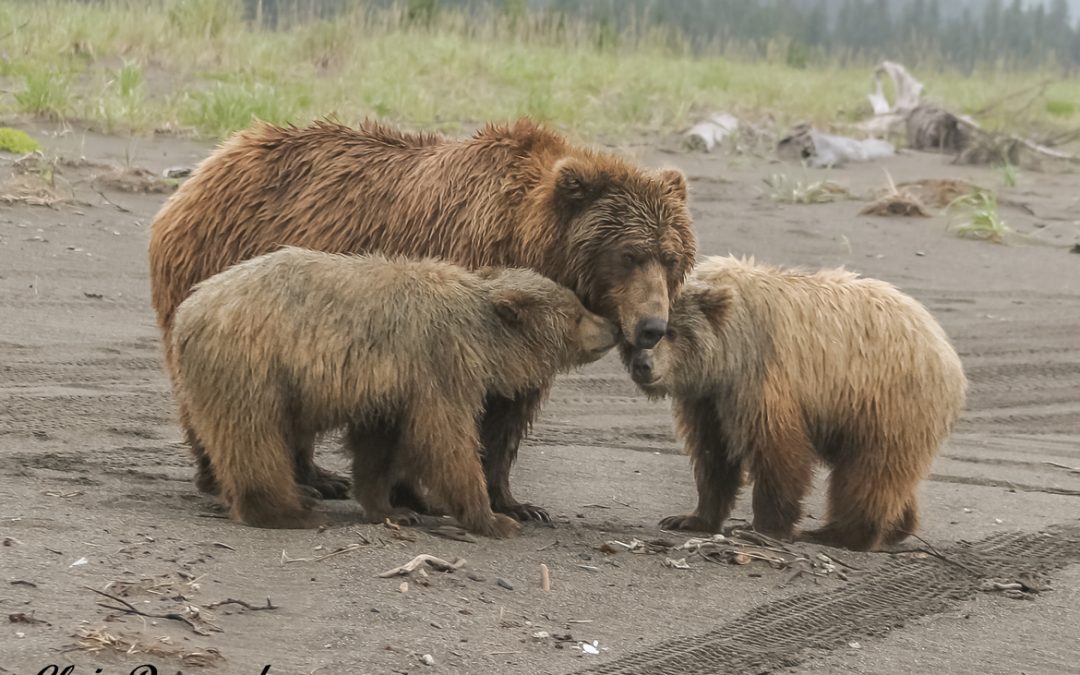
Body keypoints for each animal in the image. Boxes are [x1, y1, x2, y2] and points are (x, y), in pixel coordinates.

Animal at [170, 246, 619, 536]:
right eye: (577, 312)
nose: (612, 325)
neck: (482, 335)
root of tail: (188, 311)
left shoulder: (390, 387)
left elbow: (378, 447)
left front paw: (393, 509)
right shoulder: (438, 365)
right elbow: (447, 441)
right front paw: (494, 518)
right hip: (253, 366)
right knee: (253, 439)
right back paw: (288, 512)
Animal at [625, 256, 967, 551]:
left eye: (670, 332)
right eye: (643, 334)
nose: (643, 365)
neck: (726, 356)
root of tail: (944, 347)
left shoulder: (762, 376)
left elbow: (777, 450)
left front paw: (763, 527)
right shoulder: (707, 399)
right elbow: (713, 455)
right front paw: (689, 518)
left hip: (884, 401)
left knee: (869, 473)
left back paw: (836, 534)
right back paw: (899, 527)